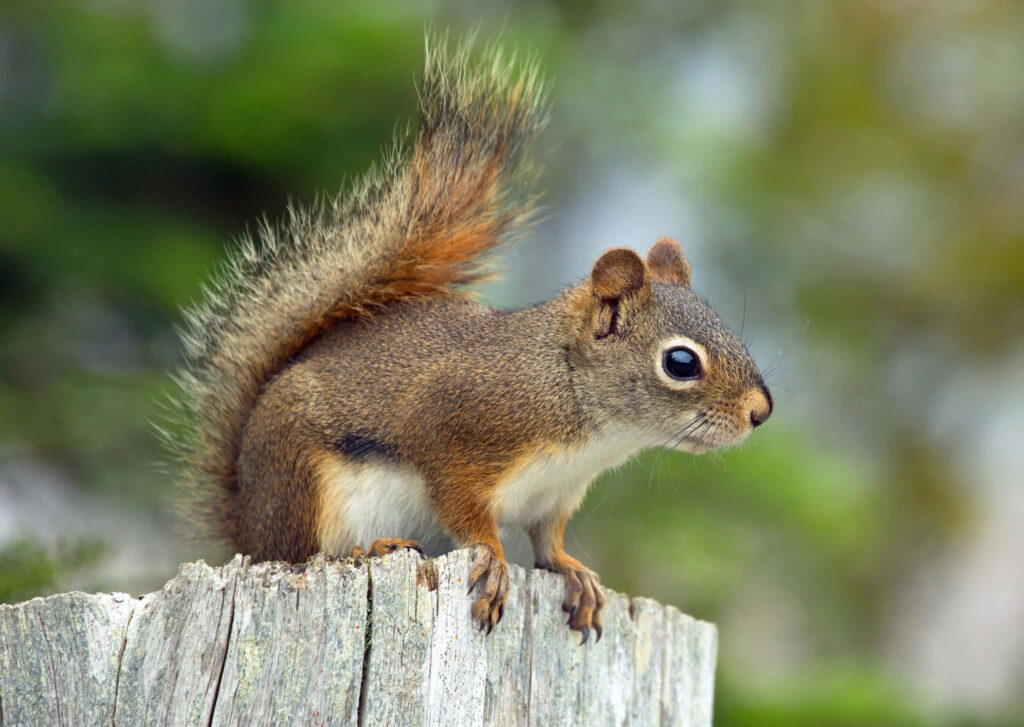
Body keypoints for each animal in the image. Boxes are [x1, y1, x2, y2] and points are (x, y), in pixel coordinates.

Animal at [165, 38, 772, 643]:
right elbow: (470, 516)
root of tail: (247, 521)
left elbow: (548, 540)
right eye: (680, 362)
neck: (579, 408)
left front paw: (575, 573)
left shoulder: (555, 494)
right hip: (303, 484)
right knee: (305, 554)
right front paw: (496, 564)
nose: (760, 412)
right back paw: (371, 548)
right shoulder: (459, 432)